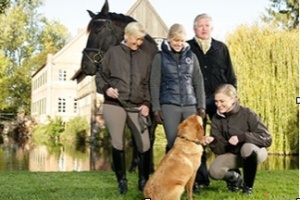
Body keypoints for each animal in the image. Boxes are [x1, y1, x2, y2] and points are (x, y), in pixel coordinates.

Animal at [81, 0, 158, 173]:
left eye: (98, 30)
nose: (85, 66)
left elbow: (148, 138)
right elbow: (137, 137)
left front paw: (147, 168)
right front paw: (134, 166)